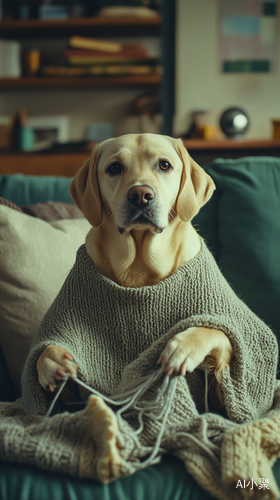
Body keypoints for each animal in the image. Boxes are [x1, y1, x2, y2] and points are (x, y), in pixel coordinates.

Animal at [36, 134, 232, 406]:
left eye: (164, 165)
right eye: (114, 168)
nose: (140, 194)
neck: (139, 265)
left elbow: (214, 329)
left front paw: (182, 347)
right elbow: (44, 354)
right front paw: (52, 361)